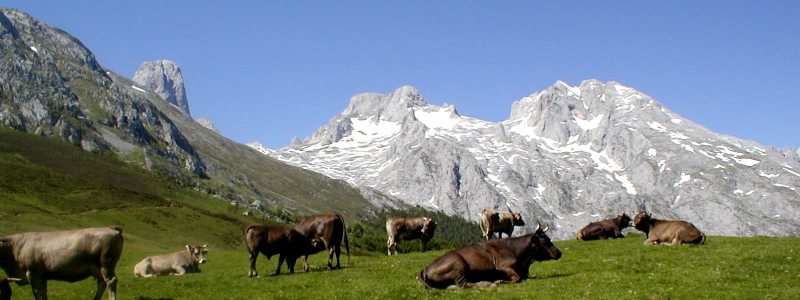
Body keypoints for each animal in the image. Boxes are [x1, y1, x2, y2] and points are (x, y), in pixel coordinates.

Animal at [418, 224, 564, 290]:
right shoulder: (503, 266)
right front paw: (500, 281)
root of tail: (425, 268)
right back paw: (487, 283)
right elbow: (517, 278)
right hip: (458, 264)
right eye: (545, 241)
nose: (559, 252)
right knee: (464, 284)